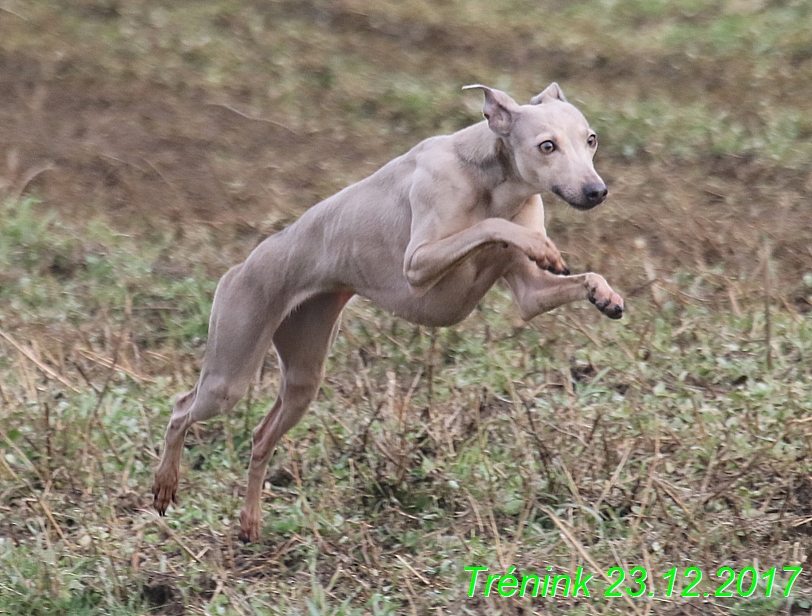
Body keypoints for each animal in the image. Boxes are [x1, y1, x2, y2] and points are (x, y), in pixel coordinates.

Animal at [151, 83, 620, 544]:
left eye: (591, 139)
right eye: (547, 146)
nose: (596, 191)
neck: (493, 177)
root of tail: (240, 266)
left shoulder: (530, 294)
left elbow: (570, 277)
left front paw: (605, 295)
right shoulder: (417, 264)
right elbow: (490, 227)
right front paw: (540, 245)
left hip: (303, 374)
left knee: (261, 436)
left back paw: (249, 523)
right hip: (229, 371)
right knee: (180, 409)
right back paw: (165, 484)